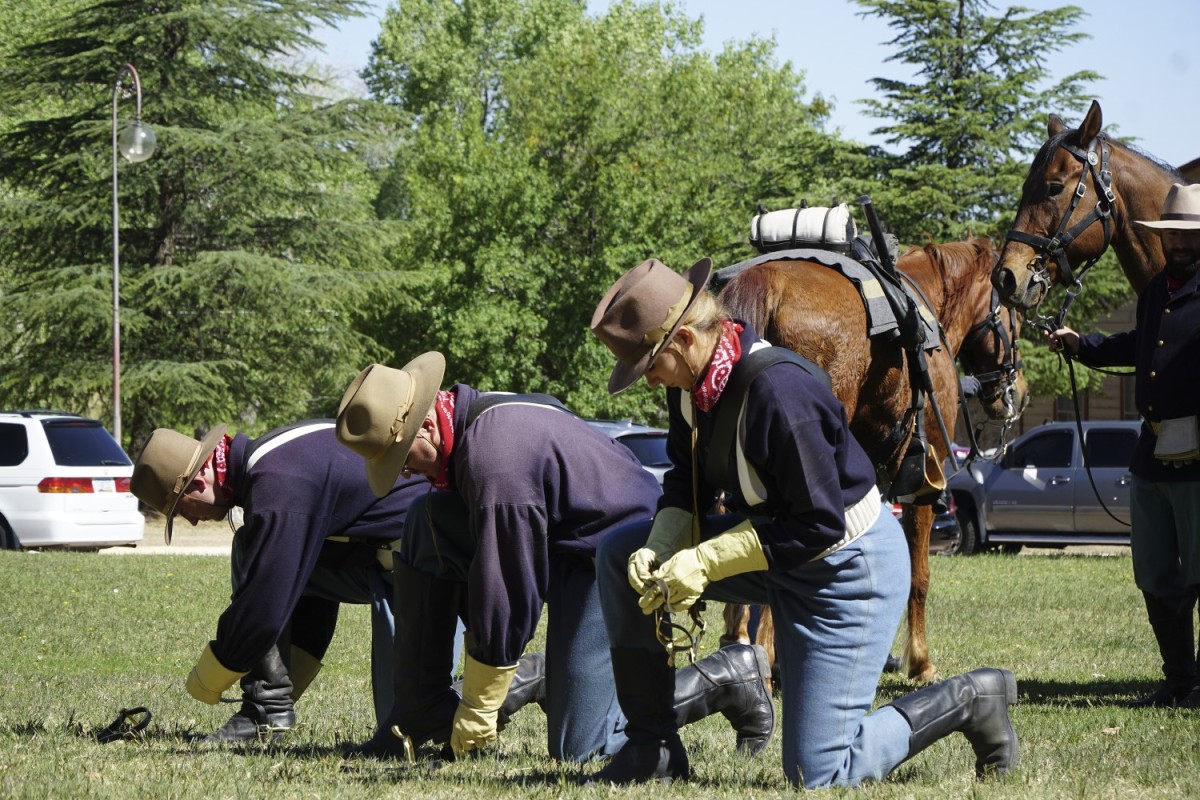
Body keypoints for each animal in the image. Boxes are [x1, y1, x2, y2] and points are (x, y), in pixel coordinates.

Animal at [715, 237, 1027, 681]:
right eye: (1013, 315)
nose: (1018, 388)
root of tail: (768, 282)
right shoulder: (923, 479)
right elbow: (918, 573)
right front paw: (921, 662)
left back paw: (740, 640)